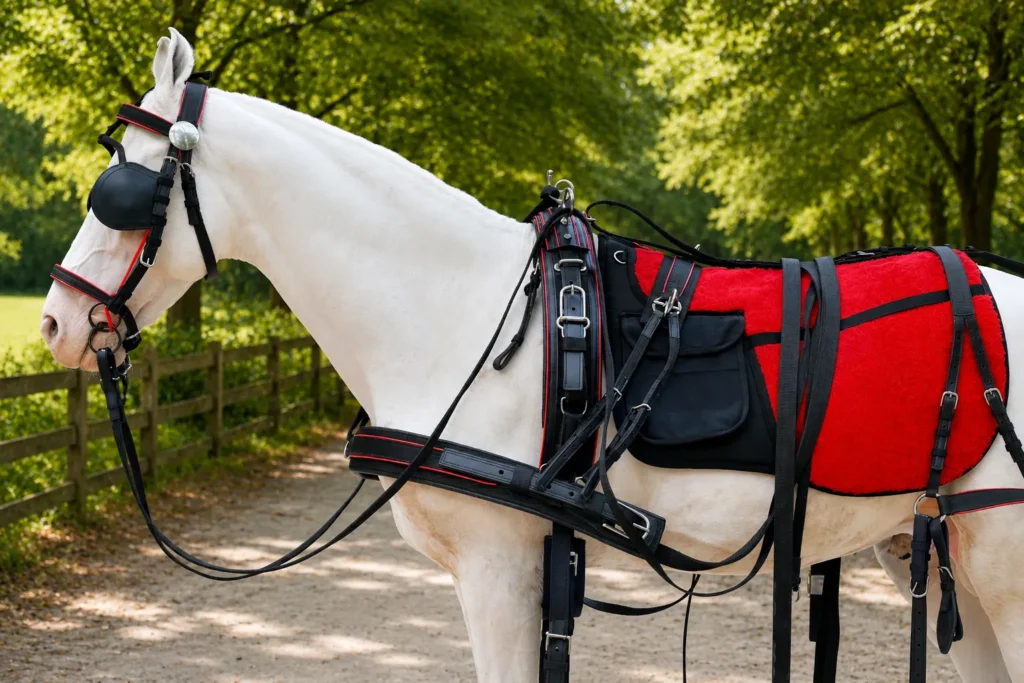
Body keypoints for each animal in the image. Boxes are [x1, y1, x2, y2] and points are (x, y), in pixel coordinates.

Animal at [40, 29, 1024, 682]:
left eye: (121, 186)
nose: (53, 322)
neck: (463, 309)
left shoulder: (498, 566)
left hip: (1002, 564)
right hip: (940, 552)